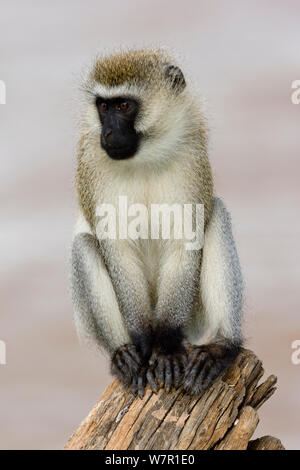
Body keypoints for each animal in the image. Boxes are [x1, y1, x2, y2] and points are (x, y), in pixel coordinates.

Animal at [71, 49, 244, 398]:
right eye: (103, 107)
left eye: (124, 106)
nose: (108, 133)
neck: (144, 158)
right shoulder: (92, 161)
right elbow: (118, 249)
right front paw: (145, 343)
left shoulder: (190, 155)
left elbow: (185, 240)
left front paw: (165, 347)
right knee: (84, 245)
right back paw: (123, 354)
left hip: (194, 316)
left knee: (217, 215)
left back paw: (222, 346)